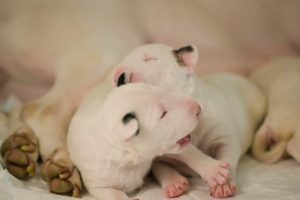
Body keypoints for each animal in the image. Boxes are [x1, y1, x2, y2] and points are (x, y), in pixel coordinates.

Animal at [112, 43, 264, 198]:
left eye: (150, 59)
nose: (119, 77)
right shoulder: (163, 140)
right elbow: (186, 151)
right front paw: (213, 171)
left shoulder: (220, 130)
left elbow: (227, 150)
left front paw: (224, 183)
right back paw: (174, 183)